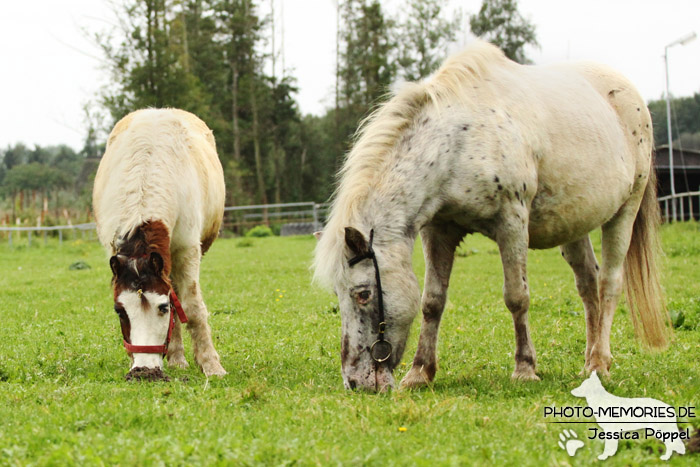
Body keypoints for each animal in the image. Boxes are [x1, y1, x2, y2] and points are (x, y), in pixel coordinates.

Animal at [93, 109, 227, 380]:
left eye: (163, 308)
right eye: (119, 311)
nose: (144, 371)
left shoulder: (187, 251)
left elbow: (192, 308)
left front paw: (211, 365)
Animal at [314, 40, 668, 394]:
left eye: (363, 294)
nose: (355, 382)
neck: (458, 143)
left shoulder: (512, 223)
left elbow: (517, 297)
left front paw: (524, 368)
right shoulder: (438, 230)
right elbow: (432, 301)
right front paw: (420, 372)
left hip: (624, 212)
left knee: (609, 284)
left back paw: (599, 362)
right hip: (575, 225)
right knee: (588, 284)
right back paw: (588, 363)